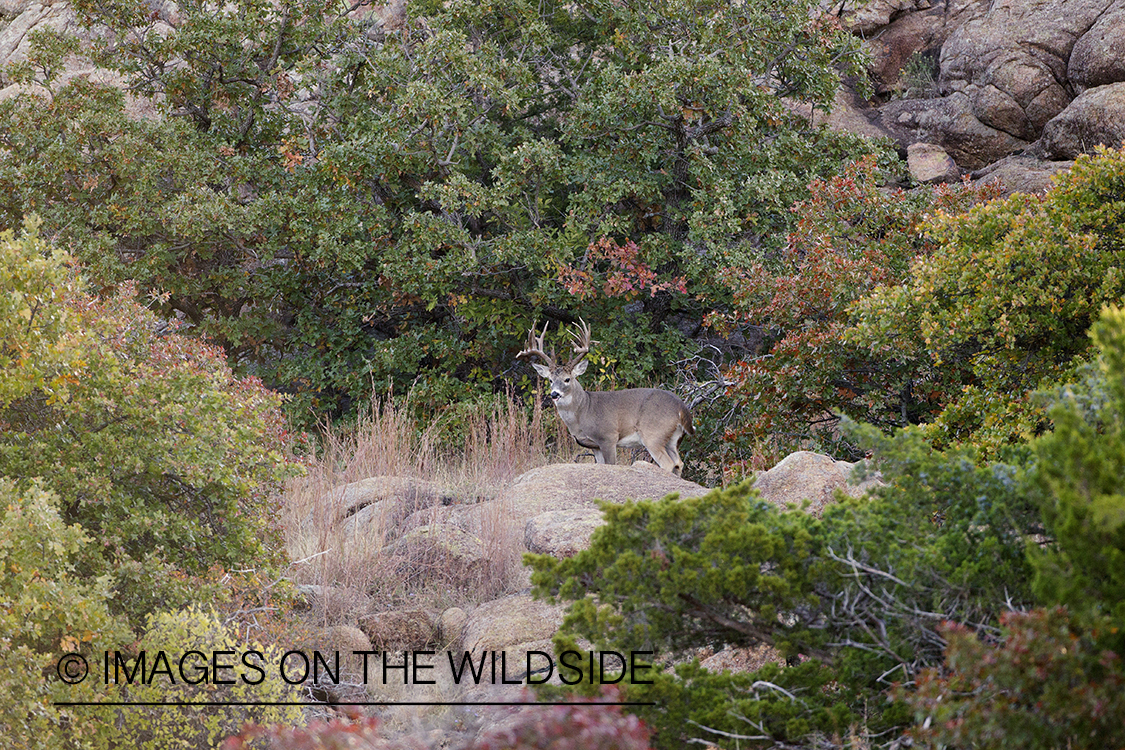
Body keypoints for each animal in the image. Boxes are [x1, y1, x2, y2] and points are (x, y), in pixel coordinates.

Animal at [515, 321, 688, 474]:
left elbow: (611, 464)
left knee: (668, 463)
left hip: (653, 433)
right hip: (672, 438)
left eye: (567, 379)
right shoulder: (594, 446)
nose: (554, 394)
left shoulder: (608, 437)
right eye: (550, 380)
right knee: (679, 462)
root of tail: (681, 408)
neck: (584, 411)